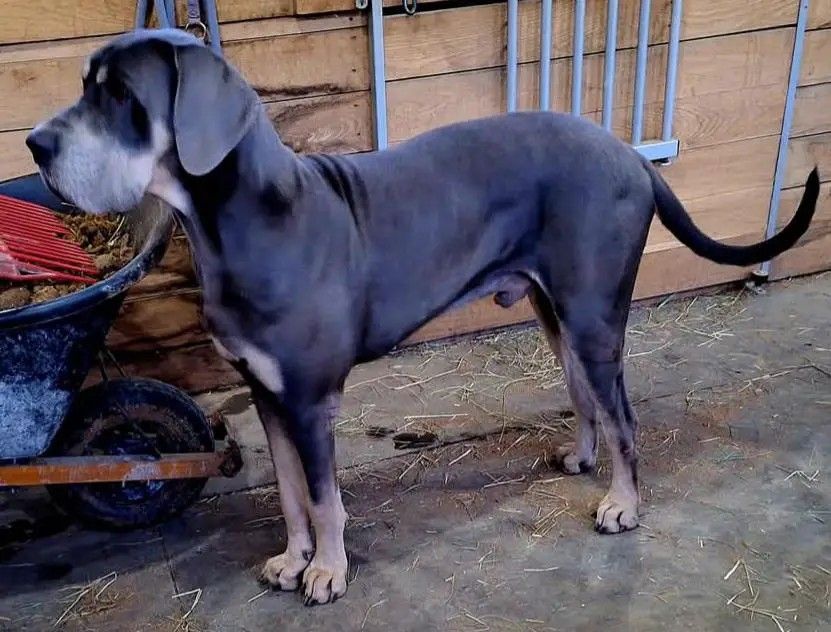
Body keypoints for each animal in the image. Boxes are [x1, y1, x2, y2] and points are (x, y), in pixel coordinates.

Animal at [26, 29, 820, 606]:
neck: (243, 223)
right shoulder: (268, 395)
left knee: (624, 418)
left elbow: (324, 498)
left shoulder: (310, 402)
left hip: (595, 319)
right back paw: (582, 459)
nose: (35, 143)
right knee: (586, 399)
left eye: (121, 95)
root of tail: (631, 154)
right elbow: (289, 493)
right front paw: (292, 558)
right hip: (557, 315)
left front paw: (327, 571)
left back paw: (622, 504)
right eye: (85, 88)